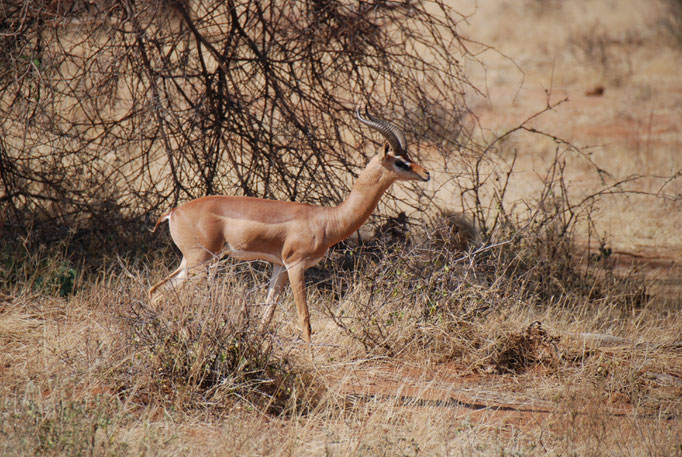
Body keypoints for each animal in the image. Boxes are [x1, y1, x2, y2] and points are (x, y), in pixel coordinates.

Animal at [147, 108, 430, 340]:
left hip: (191, 262)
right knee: (171, 297)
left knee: (155, 292)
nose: (426, 174)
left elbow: (267, 314)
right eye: (400, 161)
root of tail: (173, 211)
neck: (326, 220)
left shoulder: (279, 266)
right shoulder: (296, 265)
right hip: (201, 263)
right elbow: (305, 318)